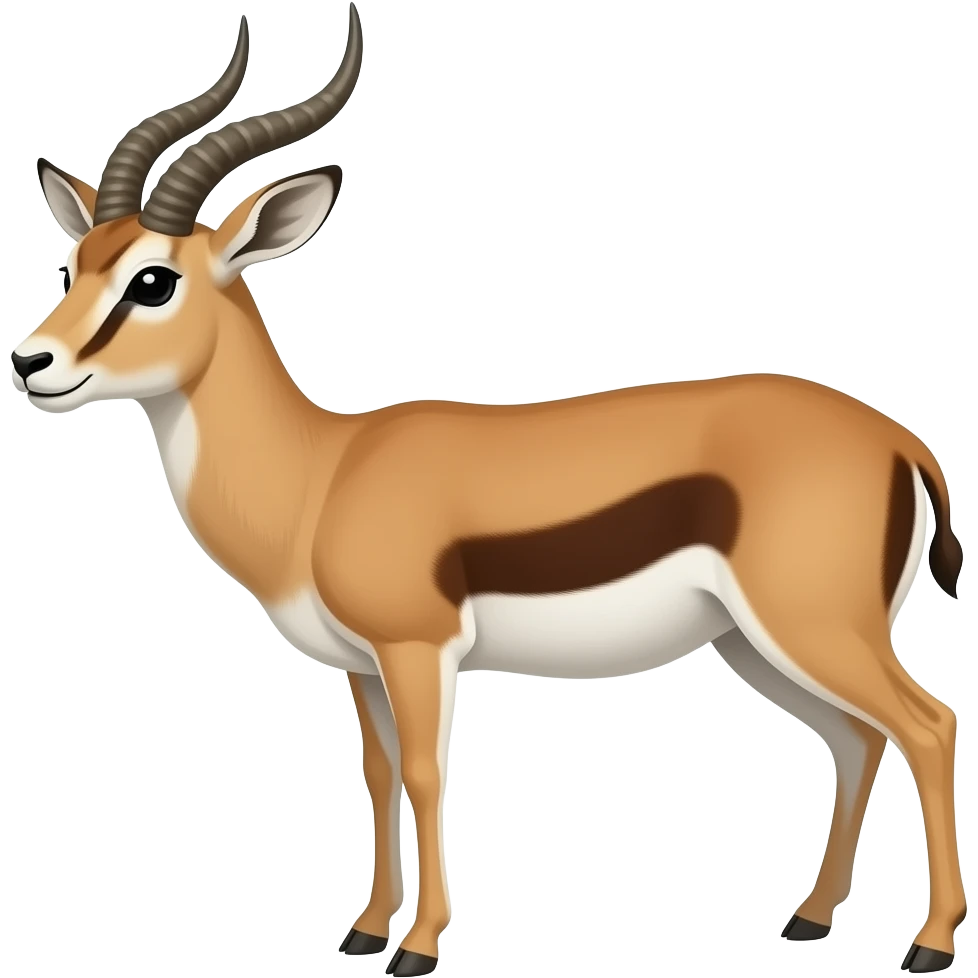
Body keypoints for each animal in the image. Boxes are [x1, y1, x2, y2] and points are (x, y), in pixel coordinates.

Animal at [15, 8, 967, 977]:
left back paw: (928, 945)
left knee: (930, 725)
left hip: (814, 626)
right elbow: (379, 776)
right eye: (75, 262)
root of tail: (900, 439)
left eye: (153, 279)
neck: (322, 472)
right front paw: (365, 930)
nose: (31, 362)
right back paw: (809, 919)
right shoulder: (362, 665)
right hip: (758, 642)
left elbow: (427, 774)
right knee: (859, 737)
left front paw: (418, 947)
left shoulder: (417, 648)